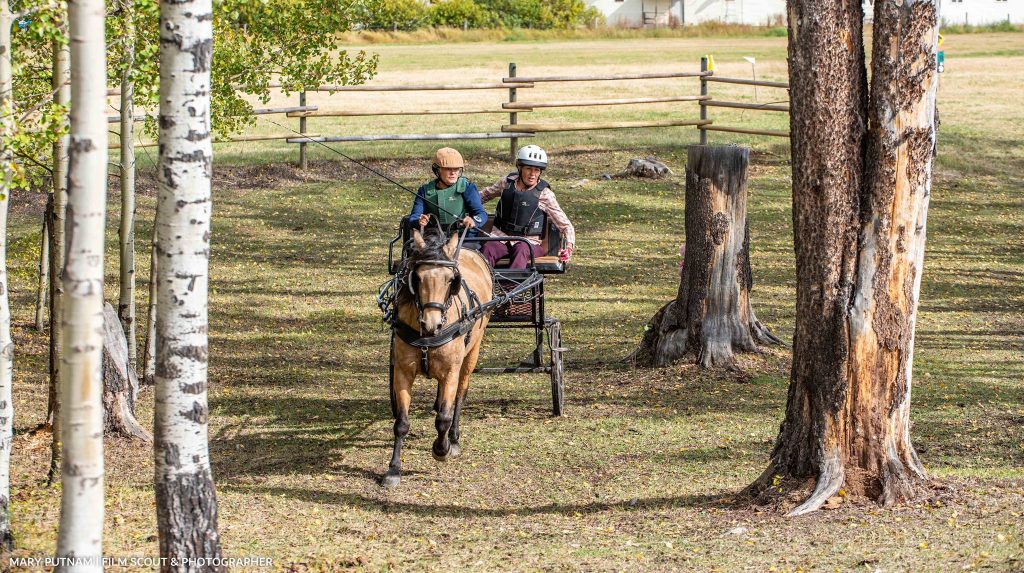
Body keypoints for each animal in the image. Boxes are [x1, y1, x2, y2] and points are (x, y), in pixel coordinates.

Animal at [385, 225, 495, 487]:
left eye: (450, 280)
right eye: (417, 278)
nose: (431, 323)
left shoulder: (450, 373)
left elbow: (444, 417)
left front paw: (441, 449)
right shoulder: (402, 372)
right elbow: (401, 422)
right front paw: (394, 469)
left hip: (472, 353)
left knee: (461, 395)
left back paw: (453, 438)